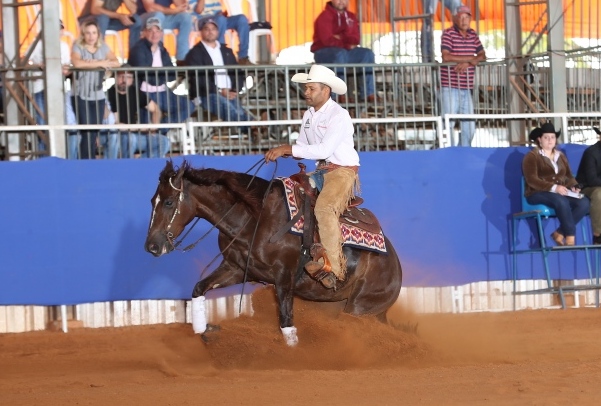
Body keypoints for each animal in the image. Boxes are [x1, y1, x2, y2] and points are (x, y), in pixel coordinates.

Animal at [143, 160, 400, 344]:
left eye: (168, 202)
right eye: (152, 200)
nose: (152, 246)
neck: (254, 218)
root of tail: (395, 267)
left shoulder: (284, 276)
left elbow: (286, 322)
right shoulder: (235, 269)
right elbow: (199, 289)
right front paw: (207, 330)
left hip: (361, 308)